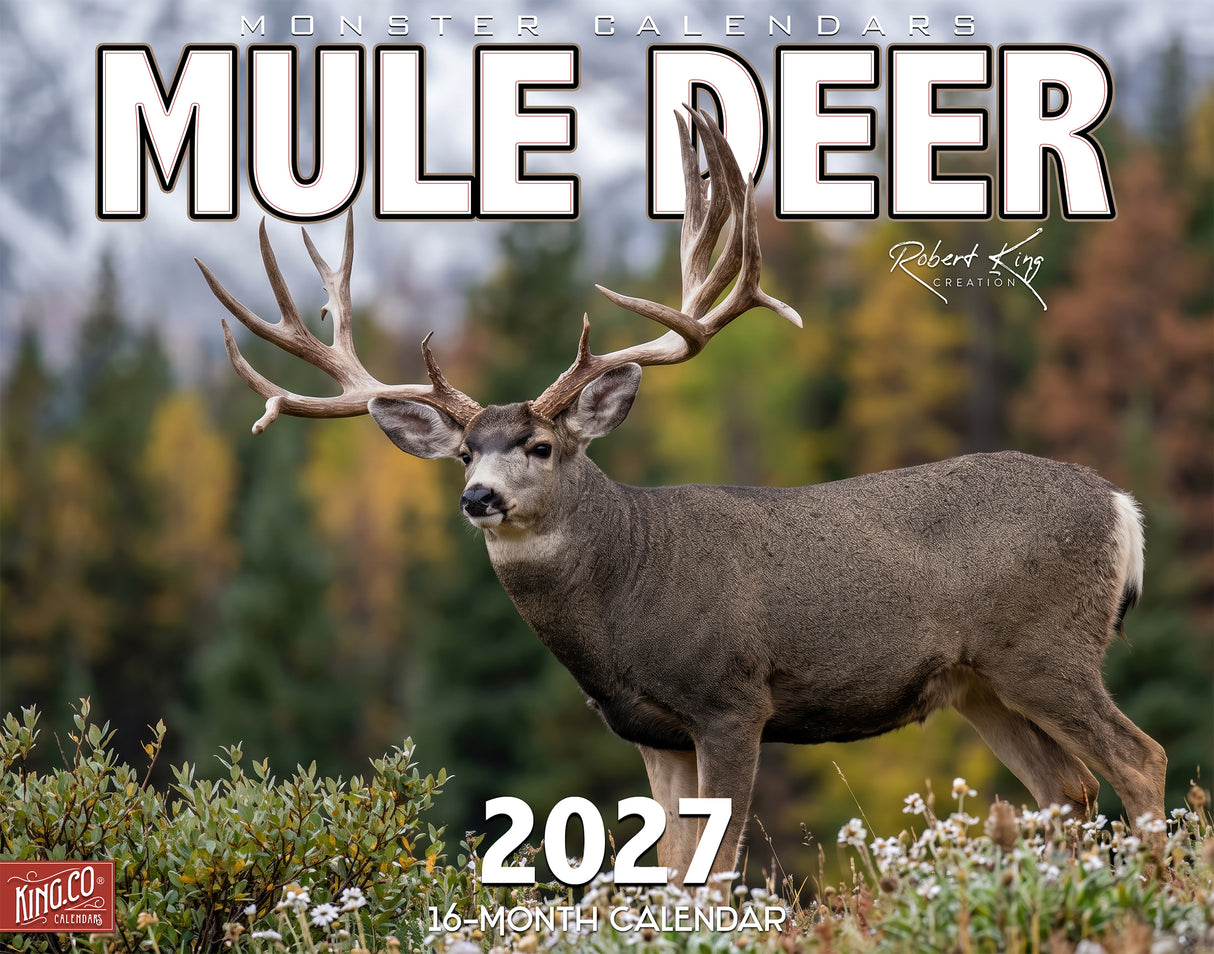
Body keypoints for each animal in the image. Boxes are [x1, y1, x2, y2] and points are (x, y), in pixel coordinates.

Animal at [196, 109, 1167, 886]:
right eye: (465, 451)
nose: (478, 499)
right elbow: (668, 869)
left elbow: (714, 866)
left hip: (1045, 647)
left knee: (1140, 758)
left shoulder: (734, 700)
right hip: (980, 683)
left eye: (541, 446)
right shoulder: (651, 731)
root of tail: (1123, 507)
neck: (627, 597)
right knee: (1068, 788)